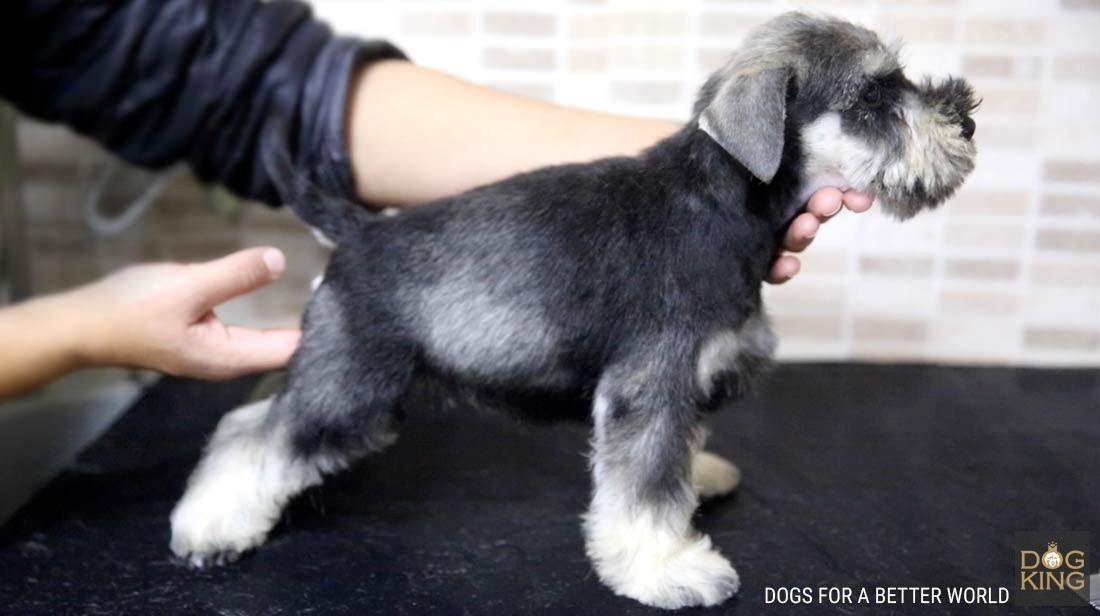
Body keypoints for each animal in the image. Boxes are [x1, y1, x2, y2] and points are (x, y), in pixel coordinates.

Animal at [171, 13, 981, 611]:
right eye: (871, 99)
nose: (967, 120)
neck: (724, 202)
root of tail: (359, 232)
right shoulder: (650, 383)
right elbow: (645, 483)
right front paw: (667, 568)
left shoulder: (686, 379)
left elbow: (673, 458)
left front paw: (700, 476)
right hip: (353, 384)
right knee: (260, 436)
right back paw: (208, 525)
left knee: (251, 421)